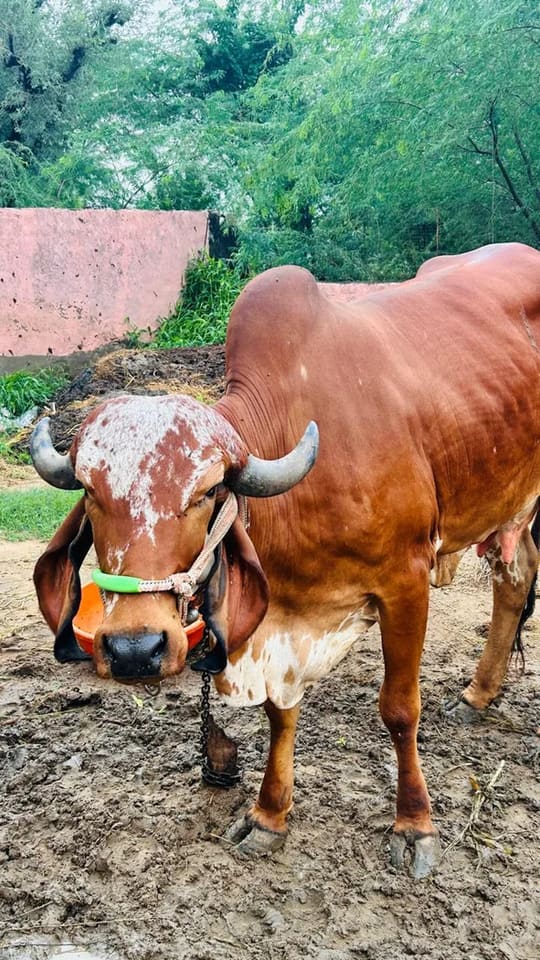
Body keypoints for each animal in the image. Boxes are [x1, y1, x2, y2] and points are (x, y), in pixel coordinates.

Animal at [30, 242, 540, 879]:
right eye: (91, 490)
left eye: (207, 492)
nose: (133, 649)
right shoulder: (280, 621)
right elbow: (280, 712)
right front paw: (270, 815)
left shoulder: (405, 583)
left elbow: (399, 710)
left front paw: (415, 825)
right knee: (515, 577)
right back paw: (479, 695)